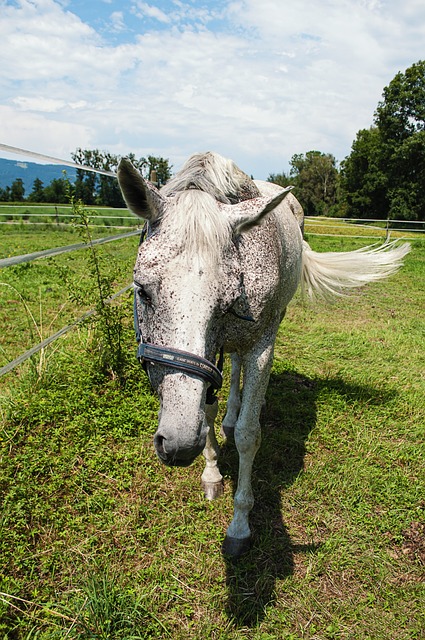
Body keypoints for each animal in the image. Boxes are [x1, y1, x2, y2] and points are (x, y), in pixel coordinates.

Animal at [117, 152, 410, 556]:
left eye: (225, 301)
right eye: (142, 290)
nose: (178, 444)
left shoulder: (258, 348)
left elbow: (247, 434)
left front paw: (239, 525)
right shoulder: (212, 355)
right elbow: (208, 412)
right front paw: (211, 472)